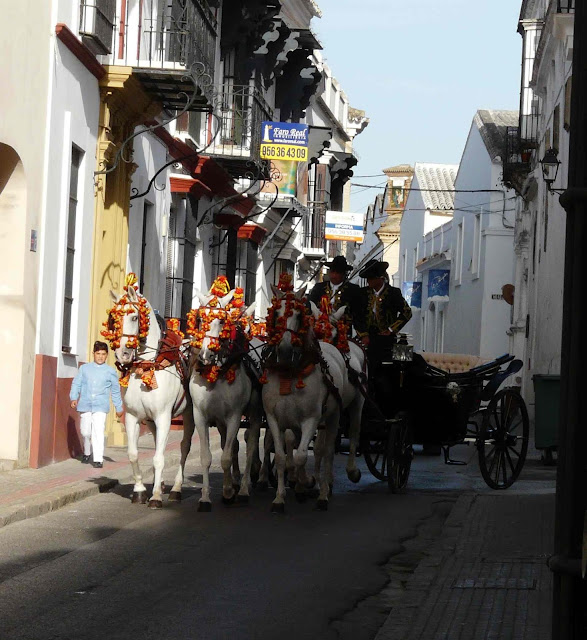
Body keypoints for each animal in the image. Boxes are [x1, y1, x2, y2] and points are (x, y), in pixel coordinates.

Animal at [109, 284, 194, 510]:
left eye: (134, 317)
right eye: (113, 318)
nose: (123, 354)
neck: (147, 366)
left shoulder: (164, 417)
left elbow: (158, 458)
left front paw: (155, 496)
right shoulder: (133, 417)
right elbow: (133, 454)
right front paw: (139, 491)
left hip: (190, 415)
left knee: (184, 446)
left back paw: (175, 489)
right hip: (151, 421)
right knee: (158, 444)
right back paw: (162, 483)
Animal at [188, 292, 264, 512]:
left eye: (222, 320)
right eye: (200, 319)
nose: (205, 354)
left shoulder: (234, 417)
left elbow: (227, 457)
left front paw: (229, 492)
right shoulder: (201, 416)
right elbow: (208, 457)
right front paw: (206, 498)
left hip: (255, 413)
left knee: (251, 444)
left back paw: (246, 487)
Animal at [262, 284, 354, 510]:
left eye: (299, 315)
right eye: (276, 313)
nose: (285, 350)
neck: (289, 371)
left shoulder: (311, 419)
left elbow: (303, 456)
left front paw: (308, 481)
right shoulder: (275, 419)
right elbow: (281, 456)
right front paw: (280, 497)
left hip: (333, 417)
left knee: (326, 451)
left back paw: (323, 491)